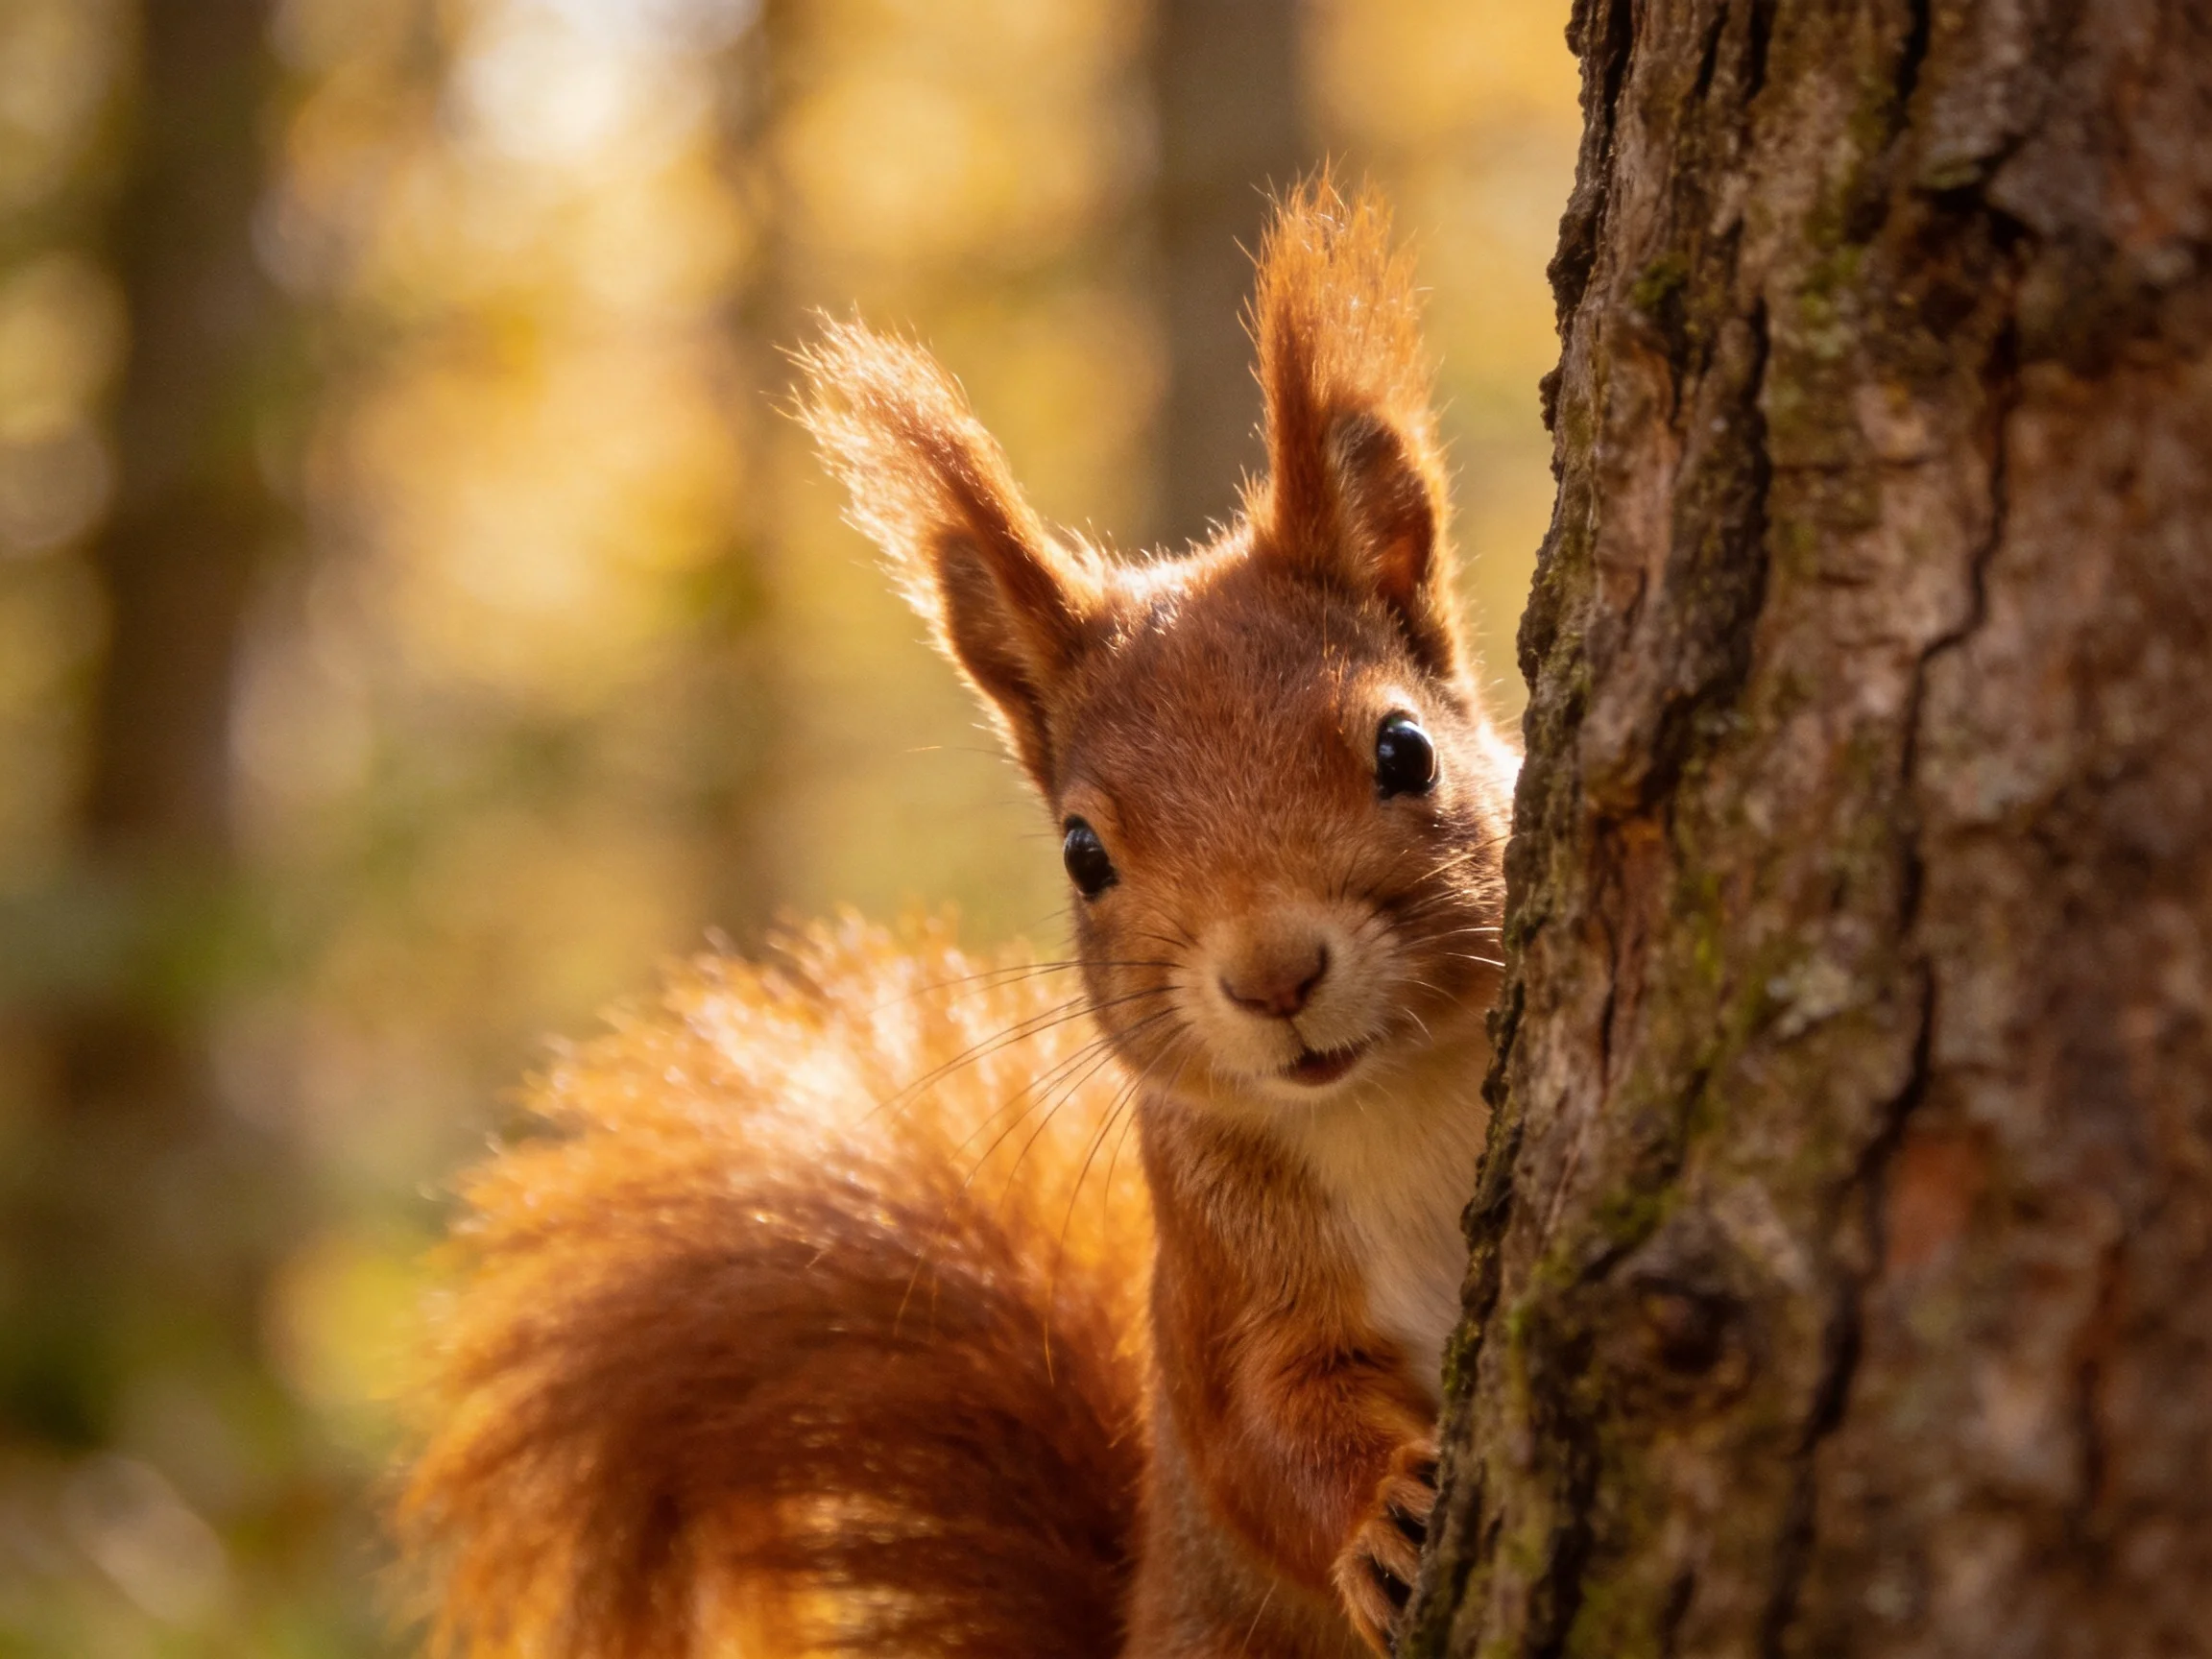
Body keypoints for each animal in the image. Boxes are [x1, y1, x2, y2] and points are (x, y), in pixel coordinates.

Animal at [396, 181, 1518, 1659]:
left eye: (1404, 750)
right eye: (1084, 853)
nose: (1274, 976)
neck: (1387, 1107)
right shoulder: (1222, 1283)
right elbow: (1264, 1430)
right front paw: (1381, 1514)